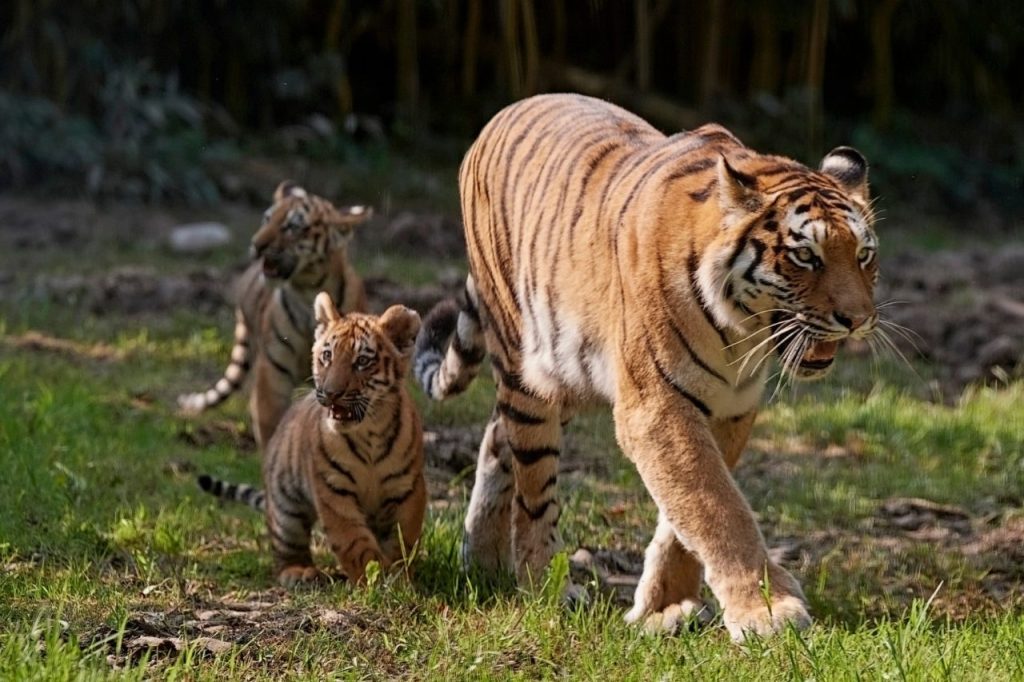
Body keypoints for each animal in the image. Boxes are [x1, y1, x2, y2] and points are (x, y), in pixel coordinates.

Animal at [179, 180, 372, 446]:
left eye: (292, 227)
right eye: (267, 218)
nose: (257, 245)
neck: (308, 289)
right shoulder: (273, 374)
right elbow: (272, 428)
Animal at [415, 94, 880, 638]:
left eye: (864, 255)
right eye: (806, 256)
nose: (858, 320)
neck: (741, 333)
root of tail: (507, 111)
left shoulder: (731, 408)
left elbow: (687, 514)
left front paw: (666, 608)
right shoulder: (656, 407)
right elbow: (715, 506)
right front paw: (769, 613)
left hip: (562, 368)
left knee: (495, 440)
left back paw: (483, 563)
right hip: (525, 369)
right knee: (533, 492)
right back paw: (544, 588)